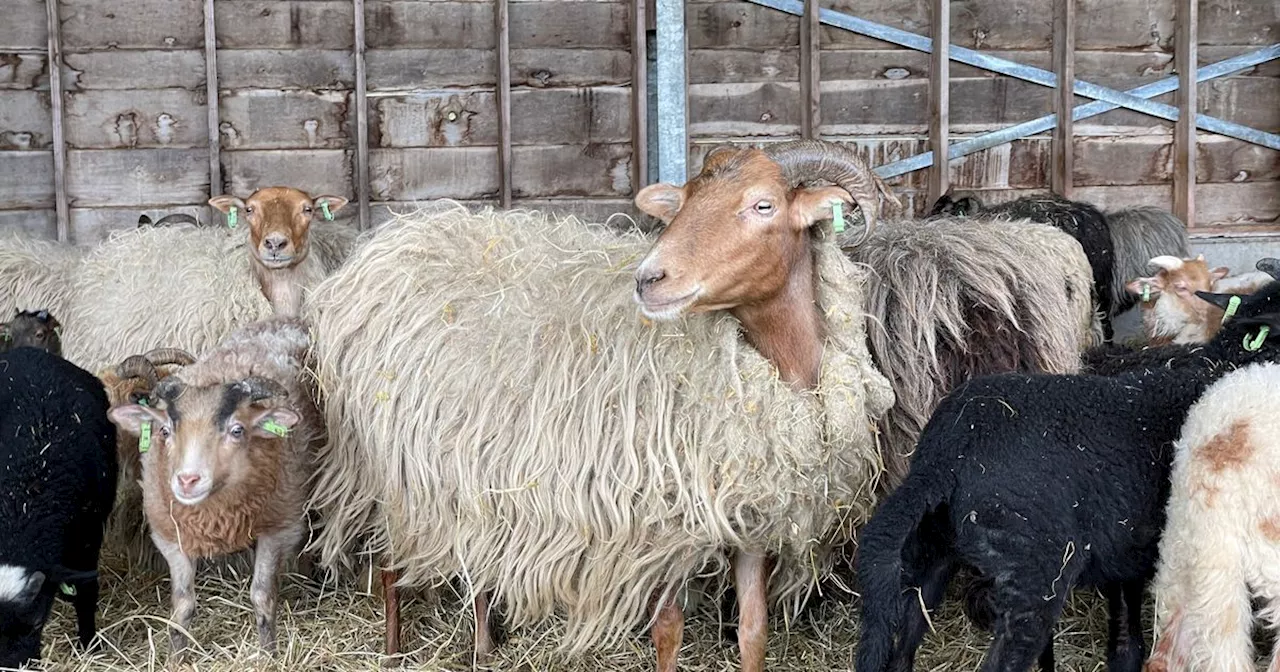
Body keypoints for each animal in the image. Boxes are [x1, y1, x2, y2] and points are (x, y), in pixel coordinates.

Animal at [0, 343, 119, 665]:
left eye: (36, 623)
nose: (14, 668)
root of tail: (29, 351)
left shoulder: (88, 533)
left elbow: (86, 591)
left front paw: (90, 645)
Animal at [107, 317, 322, 655]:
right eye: (164, 430)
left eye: (237, 430)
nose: (187, 480)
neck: (216, 517)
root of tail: (285, 319)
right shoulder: (170, 536)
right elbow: (182, 605)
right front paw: (176, 656)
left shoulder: (280, 528)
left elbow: (262, 596)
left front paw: (268, 654)